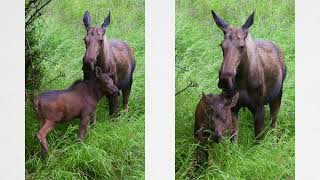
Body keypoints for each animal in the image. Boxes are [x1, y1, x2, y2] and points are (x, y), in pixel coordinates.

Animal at [211, 10, 286, 141]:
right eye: (221, 45)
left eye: (241, 46)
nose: (225, 79)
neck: (241, 80)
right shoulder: (233, 108)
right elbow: (234, 140)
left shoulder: (259, 108)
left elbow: (258, 140)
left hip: (277, 96)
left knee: (274, 123)